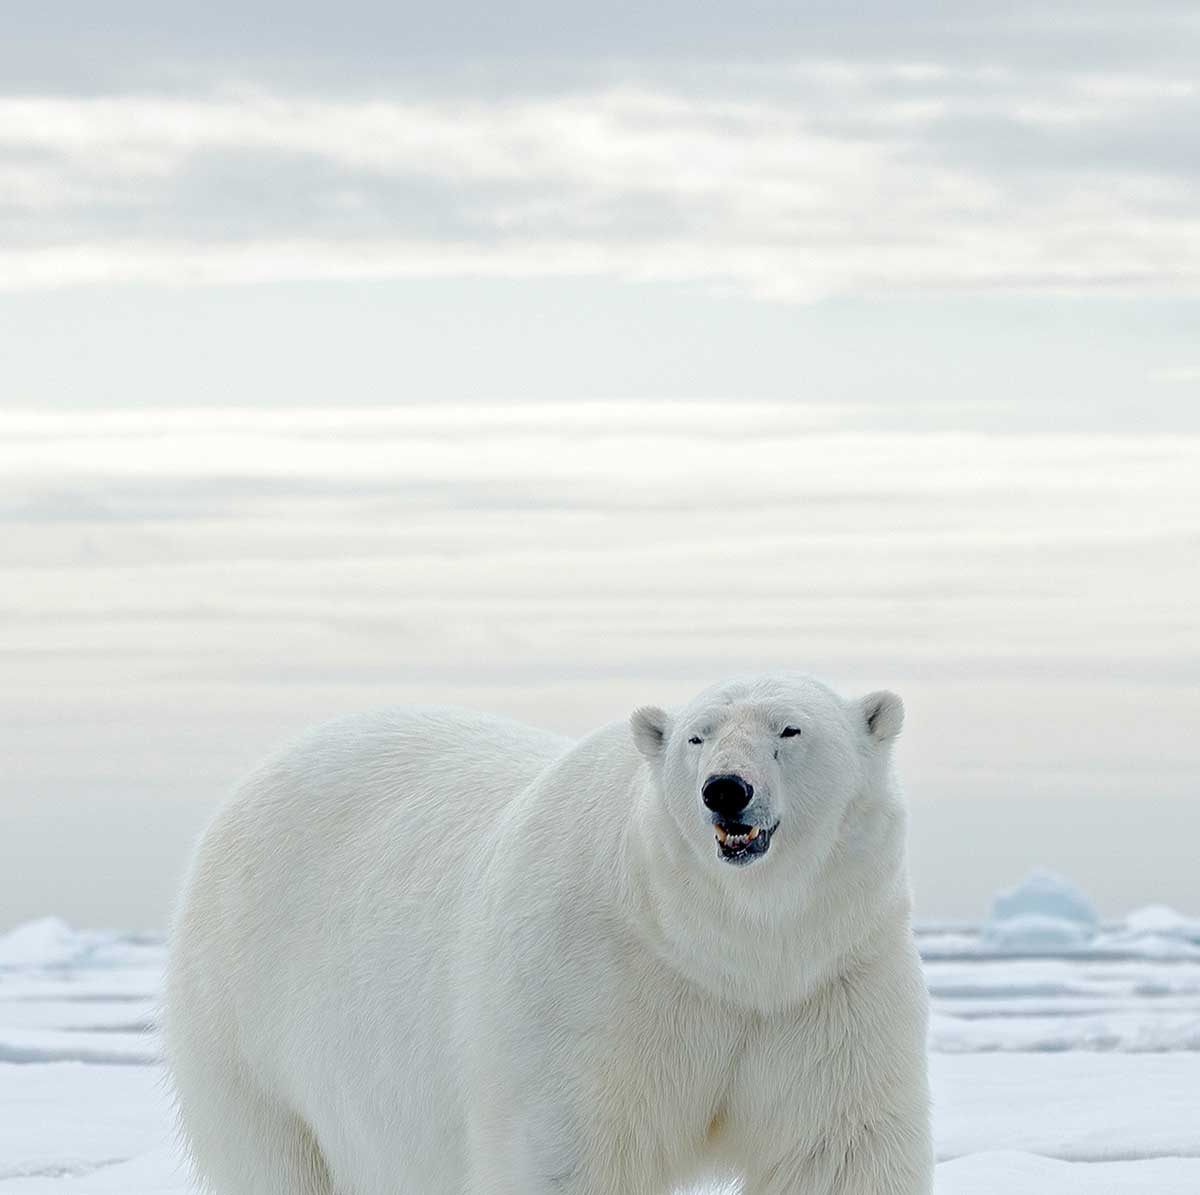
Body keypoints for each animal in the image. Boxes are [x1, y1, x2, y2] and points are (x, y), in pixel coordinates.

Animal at [164, 676, 931, 1190]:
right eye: (698, 735)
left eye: (790, 730)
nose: (725, 789)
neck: (722, 946)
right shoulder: (596, 992)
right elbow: (573, 1151)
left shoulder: (827, 985)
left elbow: (838, 1149)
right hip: (250, 1030)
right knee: (273, 1158)